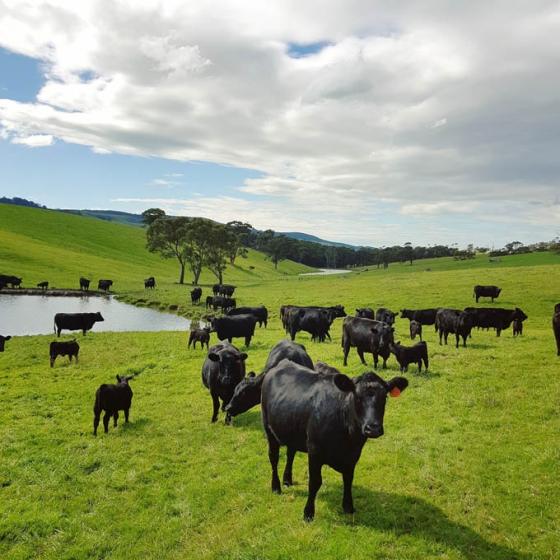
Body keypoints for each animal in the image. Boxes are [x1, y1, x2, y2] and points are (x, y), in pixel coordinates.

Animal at [260, 360, 410, 524]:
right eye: (357, 397)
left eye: (385, 398)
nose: (373, 428)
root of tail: (283, 363)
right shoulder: (314, 450)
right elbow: (315, 482)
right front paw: (308, 513)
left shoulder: (353, 455)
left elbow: (348, 479)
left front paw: (348, 506)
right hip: (269, 428)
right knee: (273, 458)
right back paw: (276, 486)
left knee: (290, 453)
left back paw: (287, 480)